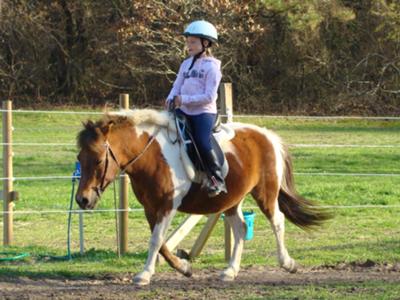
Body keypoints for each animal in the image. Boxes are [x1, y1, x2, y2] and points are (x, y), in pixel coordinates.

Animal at [76, 109, 332, 286]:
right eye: (80, 158)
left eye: (98, 160)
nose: (82, 200)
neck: (152, 155)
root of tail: (267, 135)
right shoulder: (152, 207)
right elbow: (160, 243)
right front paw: (184, 267)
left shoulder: (167, 205)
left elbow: (156, 241)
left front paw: (145, 275)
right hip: (232, 200)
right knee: (240, 228)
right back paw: (230, 271)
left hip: (266, 192)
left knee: (277, 221)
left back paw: (287, 263)